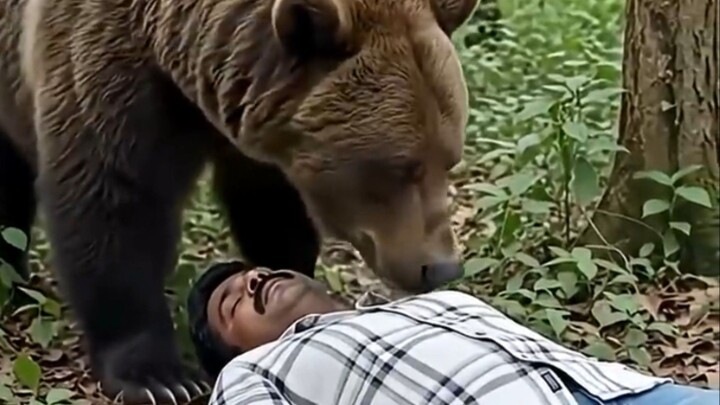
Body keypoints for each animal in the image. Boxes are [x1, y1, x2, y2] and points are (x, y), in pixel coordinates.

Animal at [0, 0, 478, 403]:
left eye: (449, 160)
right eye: (401, 168)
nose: (440, 267)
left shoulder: (256, 122)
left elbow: (269, 207)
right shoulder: (108, 62)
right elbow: (114, 197)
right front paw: (158, 377)